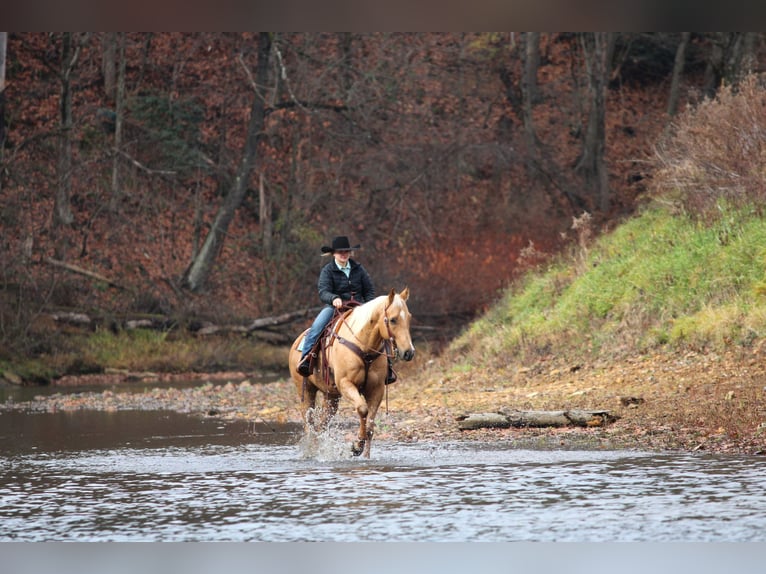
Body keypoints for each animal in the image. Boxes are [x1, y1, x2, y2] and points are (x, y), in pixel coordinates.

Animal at [289, 287, 415, 458]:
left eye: (408, 317)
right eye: (393, 319)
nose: (409, 352)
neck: (364, 347)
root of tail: (297, 341)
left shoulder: (376, 389)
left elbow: (370, 427)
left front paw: (365, 454)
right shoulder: (346, 384)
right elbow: (362, 409)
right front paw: (357, 446)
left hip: (331, 397)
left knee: (322, 424)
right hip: (306, 390)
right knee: (309, 422)